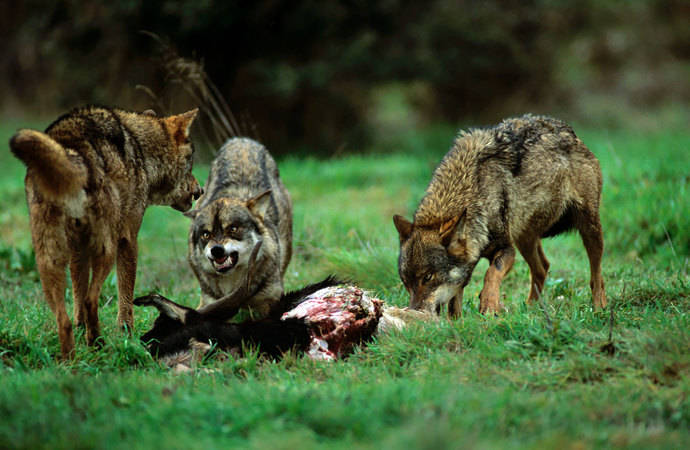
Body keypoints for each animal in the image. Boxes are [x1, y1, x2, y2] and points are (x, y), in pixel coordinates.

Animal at [10, 105, 202, 358]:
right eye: (191, 163)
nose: (200, 191)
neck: (142, 152)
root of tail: (71, 149)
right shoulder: (128, 239)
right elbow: (125, 295)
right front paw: (127, 334)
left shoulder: (77, 250)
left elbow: (78, 299)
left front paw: (82, 330)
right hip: (106, 250)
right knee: (92, 300)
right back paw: (98, 344)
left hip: (48, 261)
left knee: (63, 317)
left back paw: (70, 359)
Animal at [186, 137, 292, 318]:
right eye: (206, 234)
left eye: (233, 229)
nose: (216, 250)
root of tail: (241, 140)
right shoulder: (209, 302)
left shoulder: (269, 301)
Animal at [393, 114, 606, 317]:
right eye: (406, 283)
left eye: (427, 277)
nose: (413, 311)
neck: (474, 193)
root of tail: (571, 133)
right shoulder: (468, 268)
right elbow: (455, 302)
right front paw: (457, 322)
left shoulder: (506, 249)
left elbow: (491, 273)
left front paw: (489, 305)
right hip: (524, 236)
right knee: (542, 267)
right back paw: (530, 310)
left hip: (589, 227)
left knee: (596, 274)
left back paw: (599, 308)